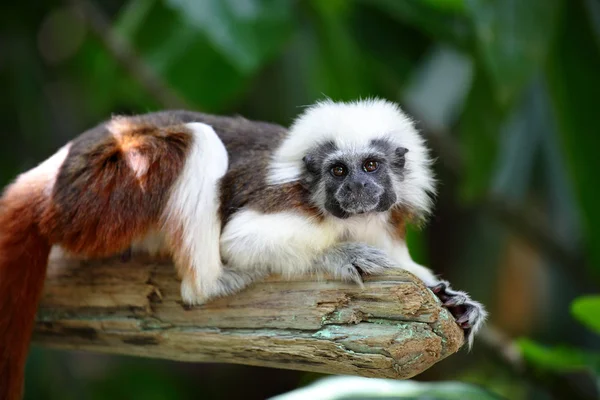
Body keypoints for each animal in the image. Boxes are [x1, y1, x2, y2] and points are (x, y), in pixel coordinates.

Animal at [0, 98, 486, 398]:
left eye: (370, 166)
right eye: (338, 171)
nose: (358, 189)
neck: (350, 218)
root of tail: (50, 178)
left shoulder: (384, 223)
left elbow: (411, 269)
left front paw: (454, 302)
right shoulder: (289, 205)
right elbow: (242, 240)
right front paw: (339, 256)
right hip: (101, 191)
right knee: (196, 140)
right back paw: (212, 284)